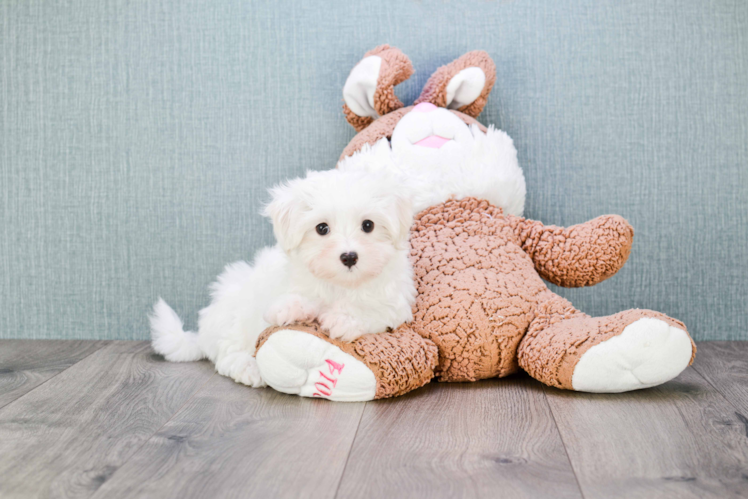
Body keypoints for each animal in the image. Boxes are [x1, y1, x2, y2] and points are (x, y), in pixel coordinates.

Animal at [146, 168, 414, 386]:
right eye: (322, 228)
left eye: (368, 225)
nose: (349, 257)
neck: (339, 284)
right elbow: (291, 299)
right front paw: (291, 308)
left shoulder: (395, 304)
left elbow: (372, 308)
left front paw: (344, 318)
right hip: (235, 313)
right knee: (227, 354)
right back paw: (248, 368)